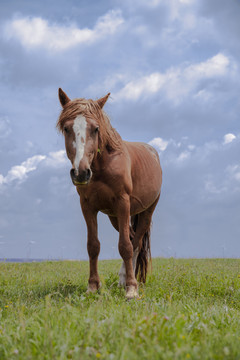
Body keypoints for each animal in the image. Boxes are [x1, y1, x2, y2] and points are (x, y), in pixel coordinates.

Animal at [56, 88, 161, 300]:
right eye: (66, 128)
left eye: (96, 128)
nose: (81, 173)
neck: (102, 166)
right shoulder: (87, 206)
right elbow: (93, 246)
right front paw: (93, 286)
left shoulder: (122, 203)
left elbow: (125, 247)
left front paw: (131, 289)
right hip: (115, 217)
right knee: (130, 237)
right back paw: (122, 279)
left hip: (145, 212)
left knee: (135, 243)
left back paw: (128, 281)